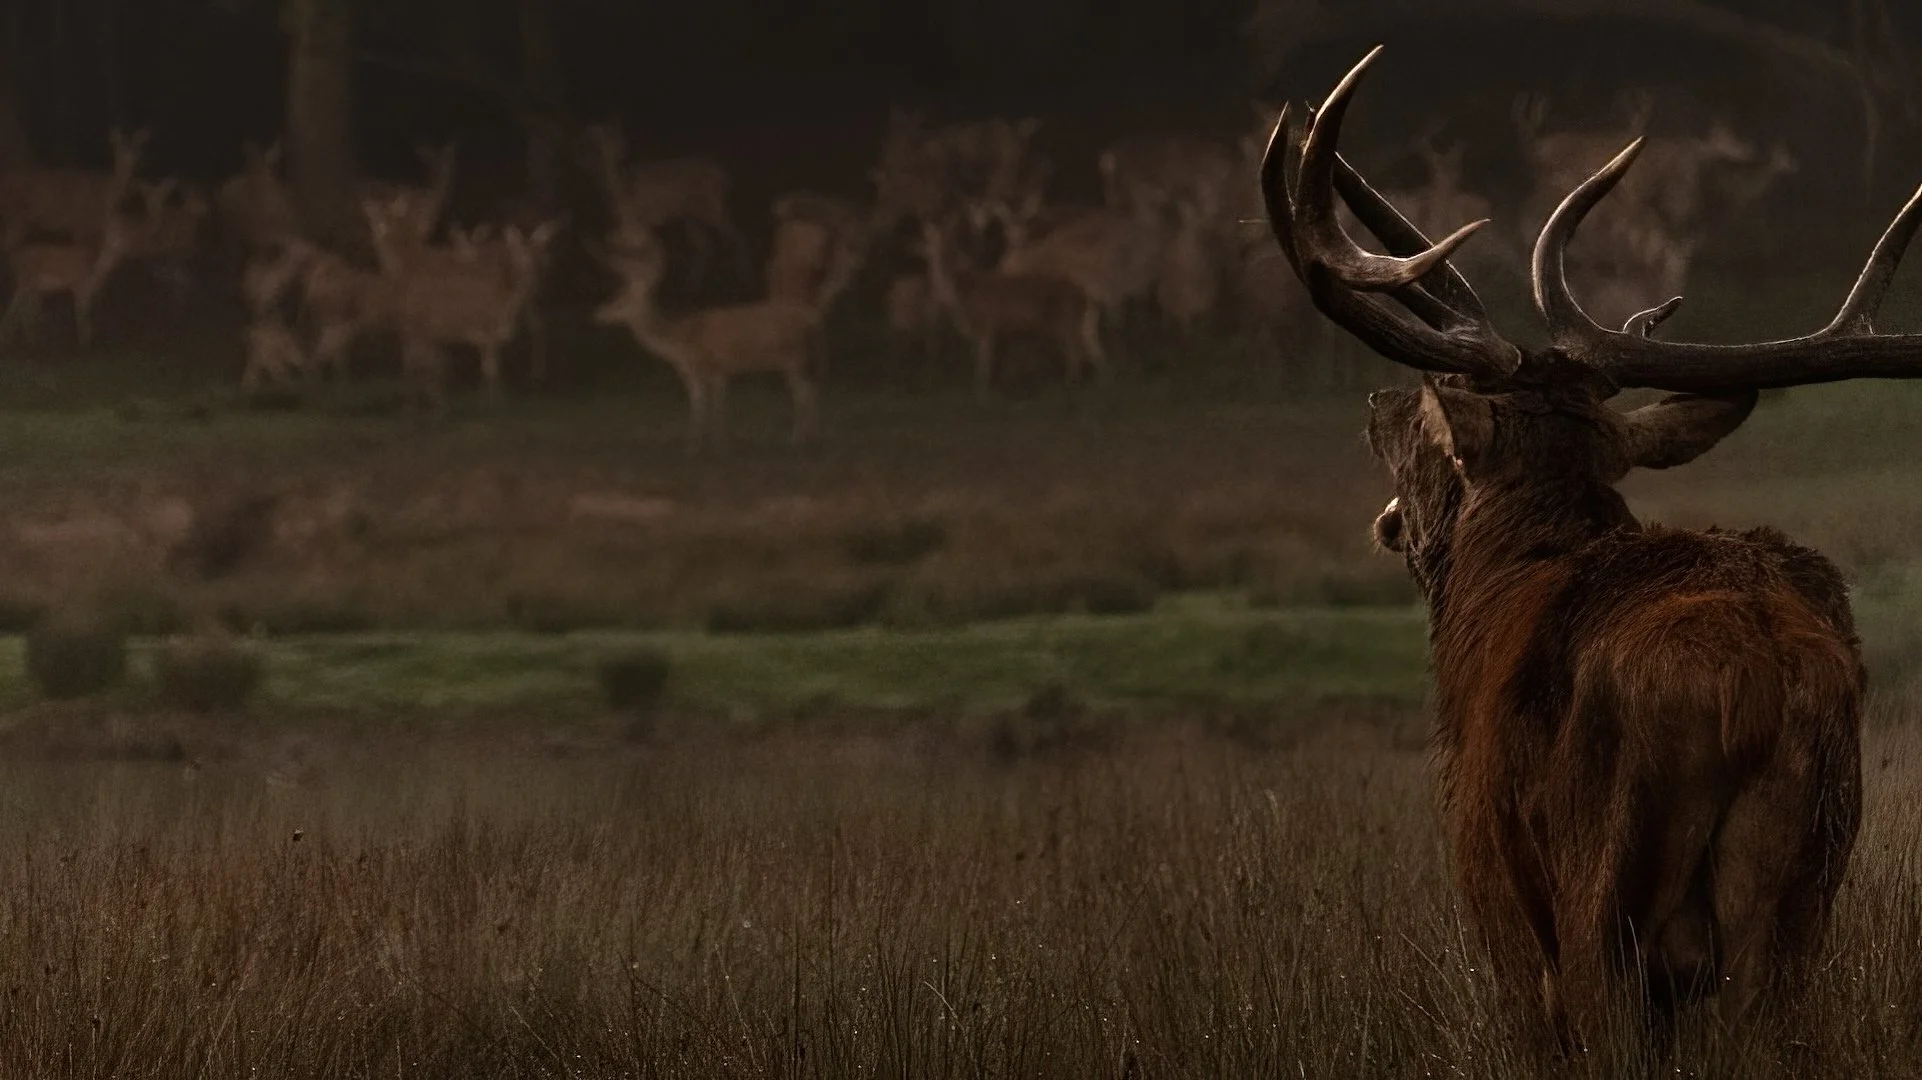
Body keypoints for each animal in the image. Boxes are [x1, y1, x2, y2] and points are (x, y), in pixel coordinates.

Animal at [594, 234, 821, 452]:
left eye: (619, 298)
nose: (598, 313)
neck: (678, 343)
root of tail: (812, 320)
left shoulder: (702, 367)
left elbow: (702, 407)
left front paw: (695, 447)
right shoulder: (715, 371)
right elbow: (715, 406)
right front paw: (717, 442)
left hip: (795, 356)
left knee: (804, 395)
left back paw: (797, 441)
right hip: (799, 360)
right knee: (808, 392)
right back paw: (807, 438)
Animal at [917, 217, 1102, 402]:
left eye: (945, 239)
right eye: (930, 238)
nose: (931, 252)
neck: (959, 296)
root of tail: (1085, 296)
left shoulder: (985, 326)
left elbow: (983, 367)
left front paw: (982, 397)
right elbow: (982, 364)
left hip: (1064, 321)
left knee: (1075, 353)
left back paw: (1072, 388)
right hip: (1071, 323)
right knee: (1083, 350)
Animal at [1265, 48, 1887, 1051]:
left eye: (1434, 419)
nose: (1378, 405)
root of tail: (1757, 690)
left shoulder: (1498, 906)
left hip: (1599, 893)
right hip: (1803, 896)